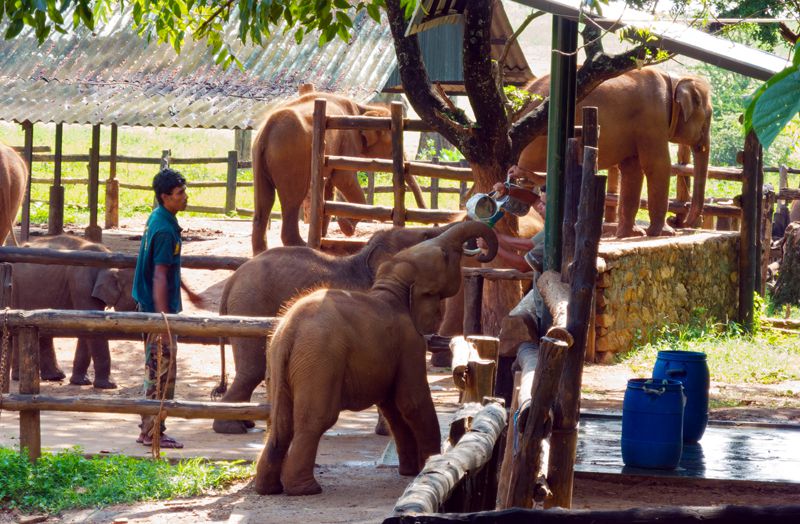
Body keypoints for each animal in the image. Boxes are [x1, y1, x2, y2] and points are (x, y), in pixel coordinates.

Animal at [10, 235, 136, 386]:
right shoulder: (81, 283)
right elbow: (93, 327)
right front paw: (109, 385)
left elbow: (89, 327)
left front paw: (81, 382)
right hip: (16, 287)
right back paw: (22, 377)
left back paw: (54, 376)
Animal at [253, 90, 428, 254]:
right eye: (392, 147)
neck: (363, 110)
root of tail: (267, 128)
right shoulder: (349, 139)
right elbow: (344, 179)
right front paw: (346, 226)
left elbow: (330, 187)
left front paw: (324, 238)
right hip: (290, 158)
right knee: (293, 199)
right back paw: (299, 246)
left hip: (260, 158)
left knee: (264, 200)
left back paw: (261, 252)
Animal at [253, 220, 496, 496]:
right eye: (445, 255)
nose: (482, 250)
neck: (392, 284)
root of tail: (291, 331)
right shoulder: (410, 343)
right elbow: (412, 401)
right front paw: (428, 464)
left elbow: (392, 407)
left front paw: (409, 472)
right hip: (320, 360)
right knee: (315, 419)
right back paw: (307, 489)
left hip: (278, 361)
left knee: (280, 423)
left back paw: (268, 488)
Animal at [520, 67, 712, 237]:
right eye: (708, 116)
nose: (679, 221)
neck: (675, 80)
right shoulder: (653, 117)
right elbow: (657, 165)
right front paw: (664, 233)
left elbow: (633, 169)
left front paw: (630, 234)